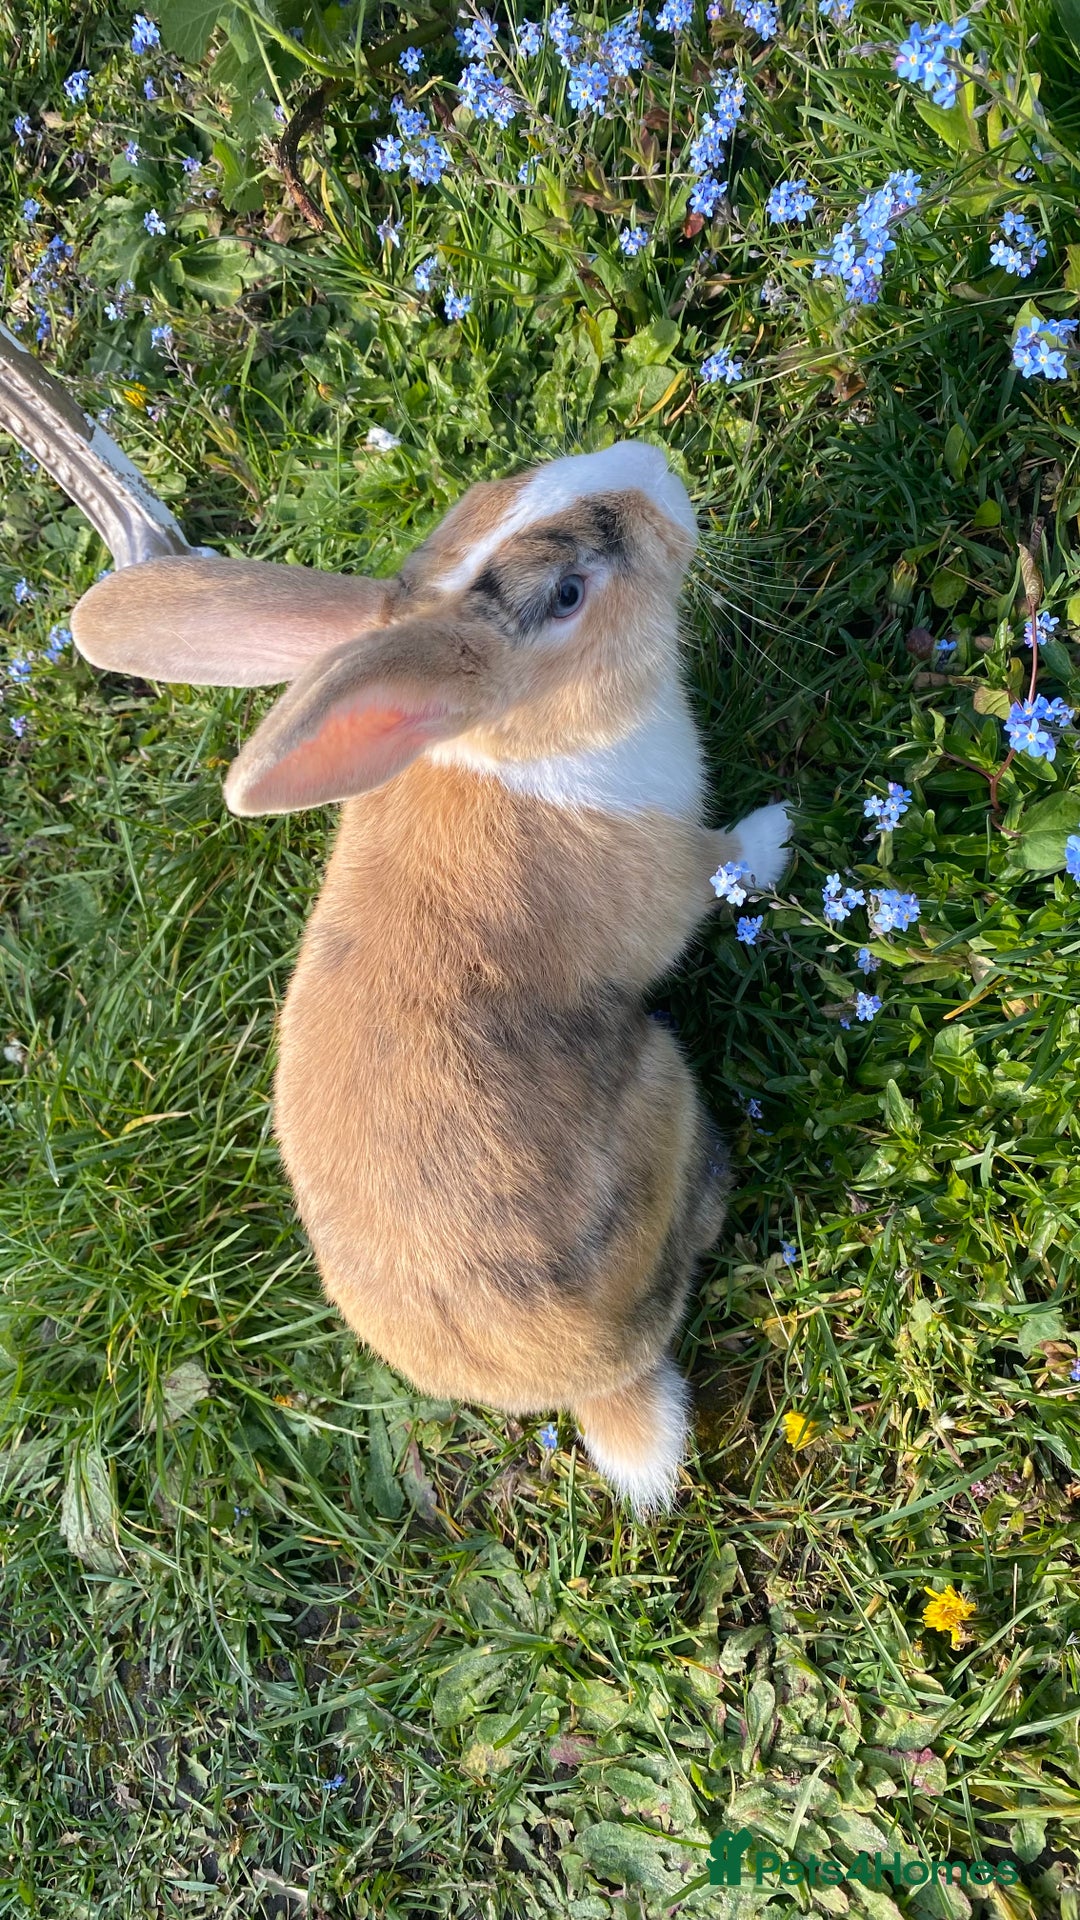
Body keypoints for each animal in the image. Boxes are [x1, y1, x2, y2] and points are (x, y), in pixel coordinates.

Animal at [0, 330, 790, 1513]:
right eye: (569, 592)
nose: (653, 469)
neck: (517, 728)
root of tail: (599, 1376)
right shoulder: (683, 875)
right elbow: (728, 864)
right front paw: (782, 831)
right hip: (664, 1083)